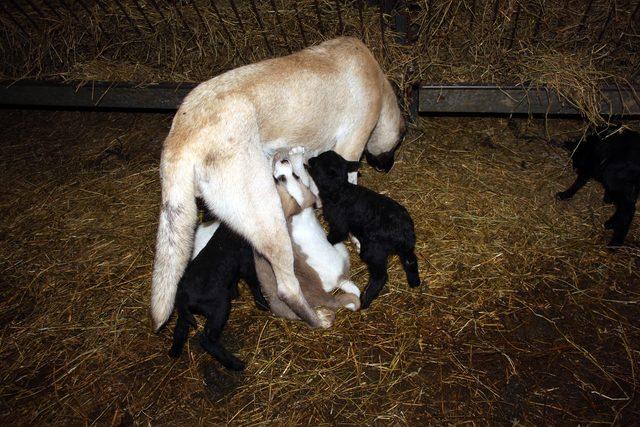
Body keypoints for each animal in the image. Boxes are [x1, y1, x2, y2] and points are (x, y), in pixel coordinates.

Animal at [150, 36, 404, 332]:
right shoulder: (350, 149)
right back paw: (318, 319)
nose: (388, 166)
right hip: (270, 221)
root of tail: (180, 137)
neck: (378, 81)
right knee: (288, 288)